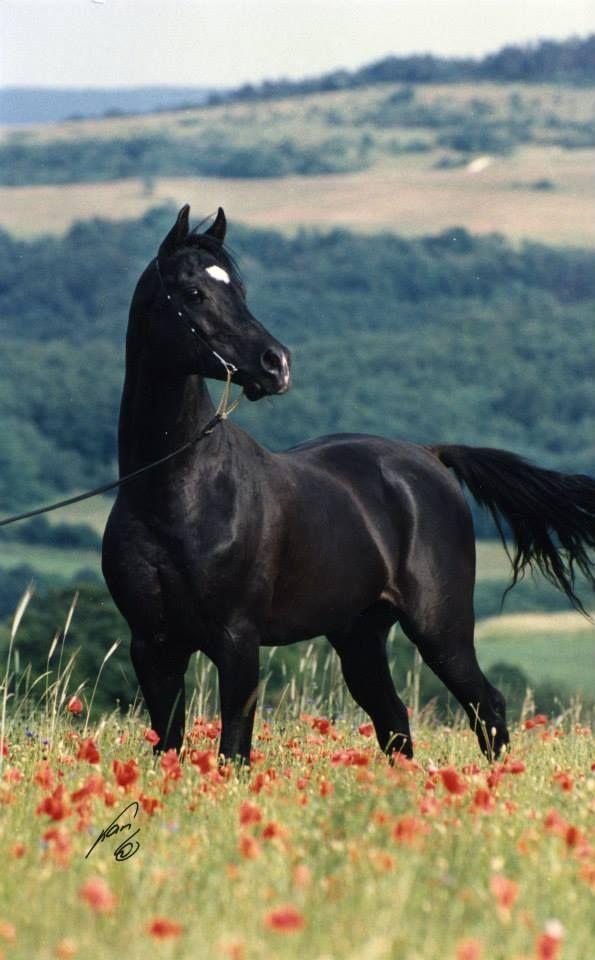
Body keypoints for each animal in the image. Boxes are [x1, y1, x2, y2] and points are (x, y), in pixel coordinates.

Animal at [102, 206, 595, 760]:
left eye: (239, 290)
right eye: (193, 293)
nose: (277, 364)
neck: (176, 494)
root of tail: (428, 456)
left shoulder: (237, 640)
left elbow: (234, 747)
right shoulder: (153, 645)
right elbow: (168, 744)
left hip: (440, 629)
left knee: (486, 706)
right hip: (359, 636)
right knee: (394, 721)